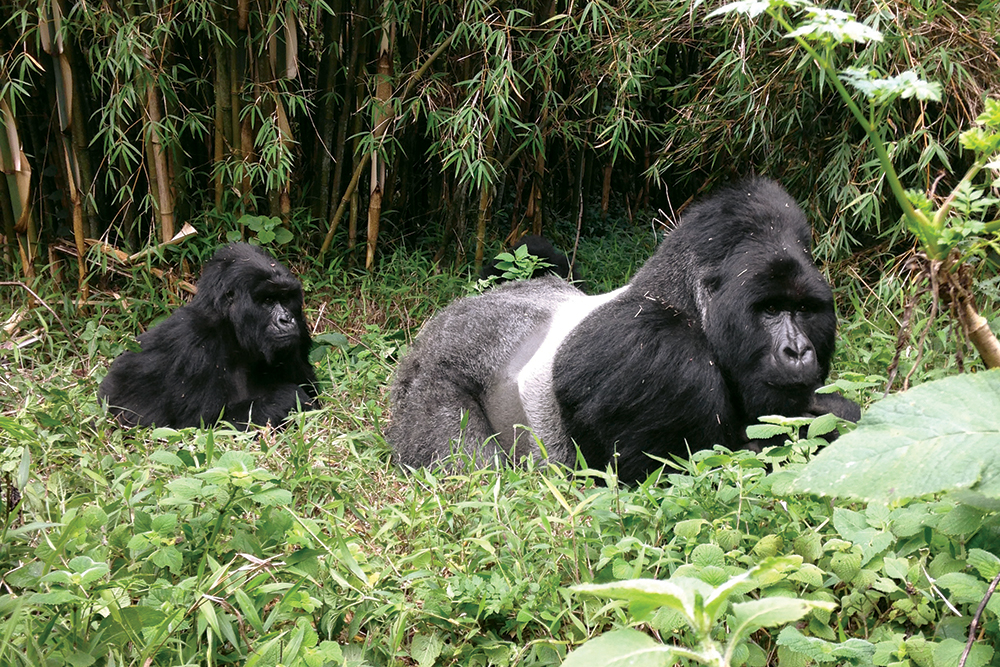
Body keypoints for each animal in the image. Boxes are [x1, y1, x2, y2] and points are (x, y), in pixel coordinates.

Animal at [97, 244, 316, 428]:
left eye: (286, 299)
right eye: (268, 300)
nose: (287, 320)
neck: (231, 332)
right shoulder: (193, 343)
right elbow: (203, 424)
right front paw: (290, 397)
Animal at [390, 177, 860, 482]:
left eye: (803, 310)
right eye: (770, 310)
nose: (797, 350)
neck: (681, 303)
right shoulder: (657, 355)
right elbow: (690, 475)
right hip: (430, 374)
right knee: (469, 469)